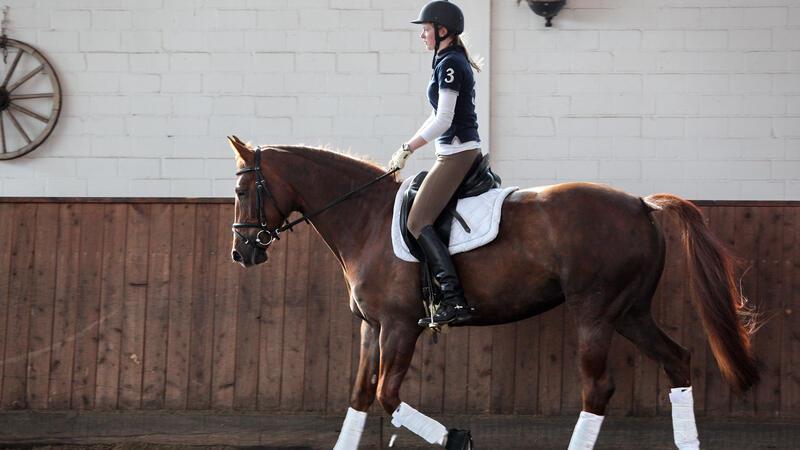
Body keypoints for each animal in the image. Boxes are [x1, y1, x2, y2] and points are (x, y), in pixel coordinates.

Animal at [227, 137, 756, 450]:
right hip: (629, 312)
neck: (366, 219)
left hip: (595, 312)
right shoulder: (371, 327)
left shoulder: (399, 326)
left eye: (242, 191)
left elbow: (386, 395)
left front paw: (457, 437)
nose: (242, 252)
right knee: (677, 360)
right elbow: (360, 397)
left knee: (598, 388)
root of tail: (642, 205)